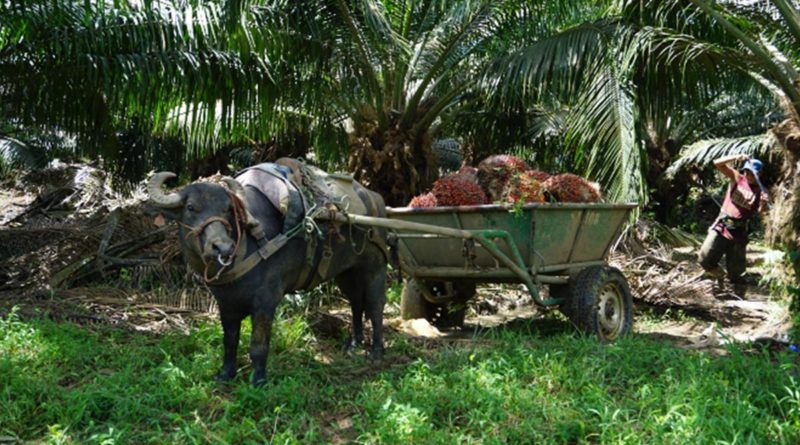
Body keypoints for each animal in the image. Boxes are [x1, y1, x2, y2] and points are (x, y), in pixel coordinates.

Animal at [150, 166, 390, 386]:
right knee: (356, 302)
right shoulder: (225, 303)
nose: (222, 247)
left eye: (227, 209)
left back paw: (377, 351)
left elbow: (258, 344)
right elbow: (229, 340)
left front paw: (258, 380)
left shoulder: (266, 301)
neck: (247, 244)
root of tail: (376, 199)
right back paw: (353, 344)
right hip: (346, 271)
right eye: (191, 207)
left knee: (375, 305)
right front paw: (225, 374)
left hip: (375, 266)